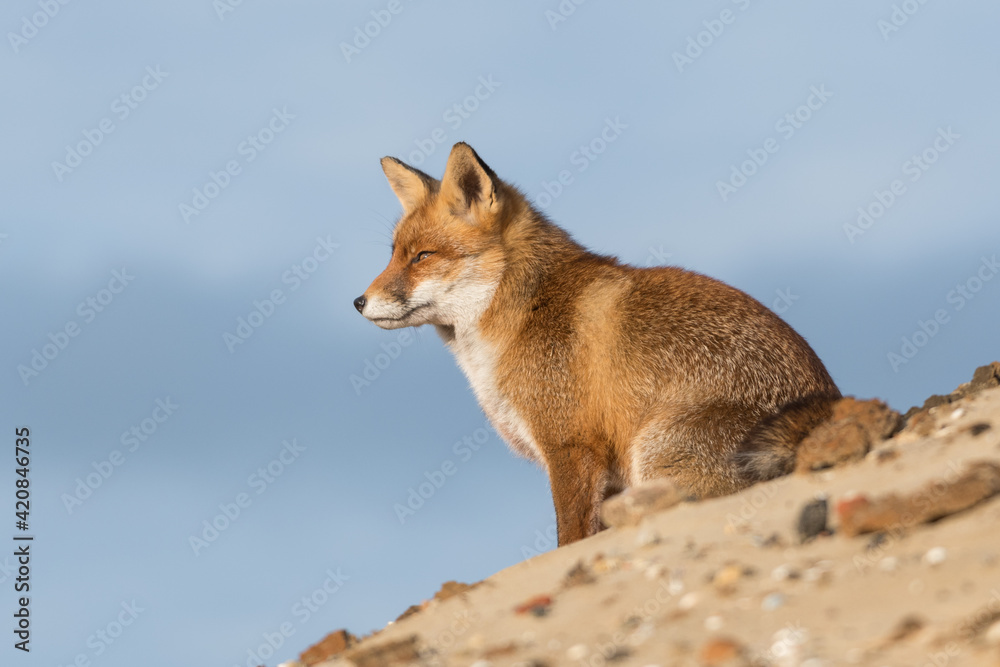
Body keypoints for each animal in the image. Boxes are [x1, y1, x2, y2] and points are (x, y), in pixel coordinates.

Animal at [354, 142, 841, 546]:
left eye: (423, 257)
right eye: (393, 254)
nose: (359, 302)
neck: (521, 312)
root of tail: (826, 411)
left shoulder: (572, 446)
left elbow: (569, 537)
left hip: (655, 448)